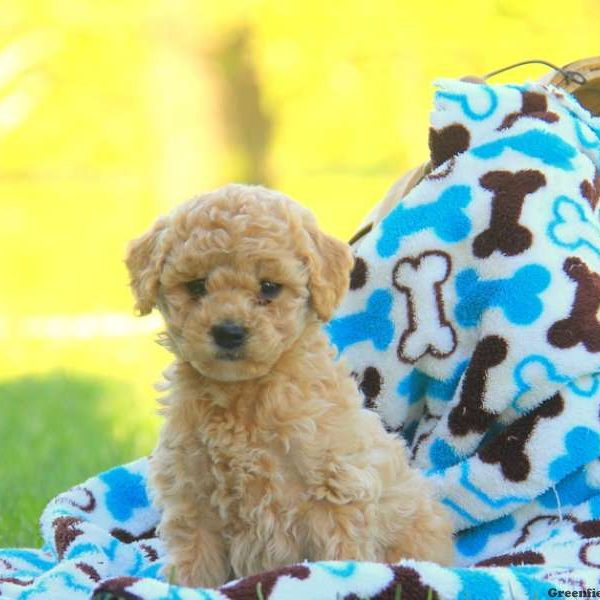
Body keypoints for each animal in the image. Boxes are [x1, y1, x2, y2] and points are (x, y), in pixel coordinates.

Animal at [127, 183, 454, 584]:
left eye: (269, 288)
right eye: (197, 286)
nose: (229, 332)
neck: (241, 395)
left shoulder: (335, 488)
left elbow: (340, 555)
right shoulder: (193, 499)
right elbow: (195, 567)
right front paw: (186, 588)